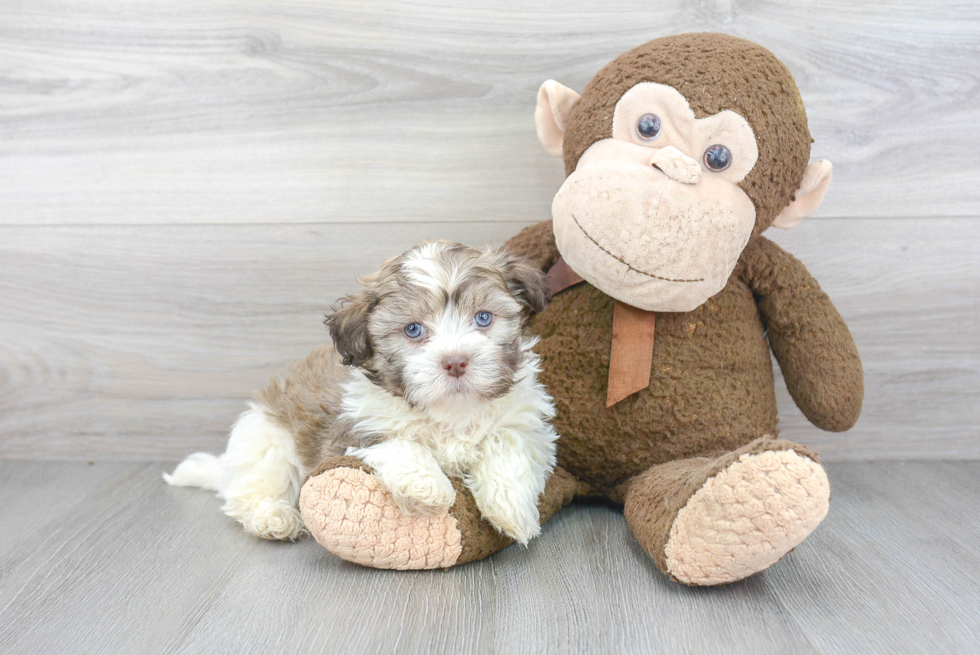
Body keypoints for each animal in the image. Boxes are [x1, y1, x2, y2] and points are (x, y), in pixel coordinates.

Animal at [165, 240, 556, 544]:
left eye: (484, 318)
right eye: (413, 329)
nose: (456, 362)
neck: (449, 411)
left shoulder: (526, 423)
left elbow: (507, 441)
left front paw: (512, 510)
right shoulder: (349, 430)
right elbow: (398, 443)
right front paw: (427, 486)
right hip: (268, 441)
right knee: (251, 490)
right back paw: (274, 518)